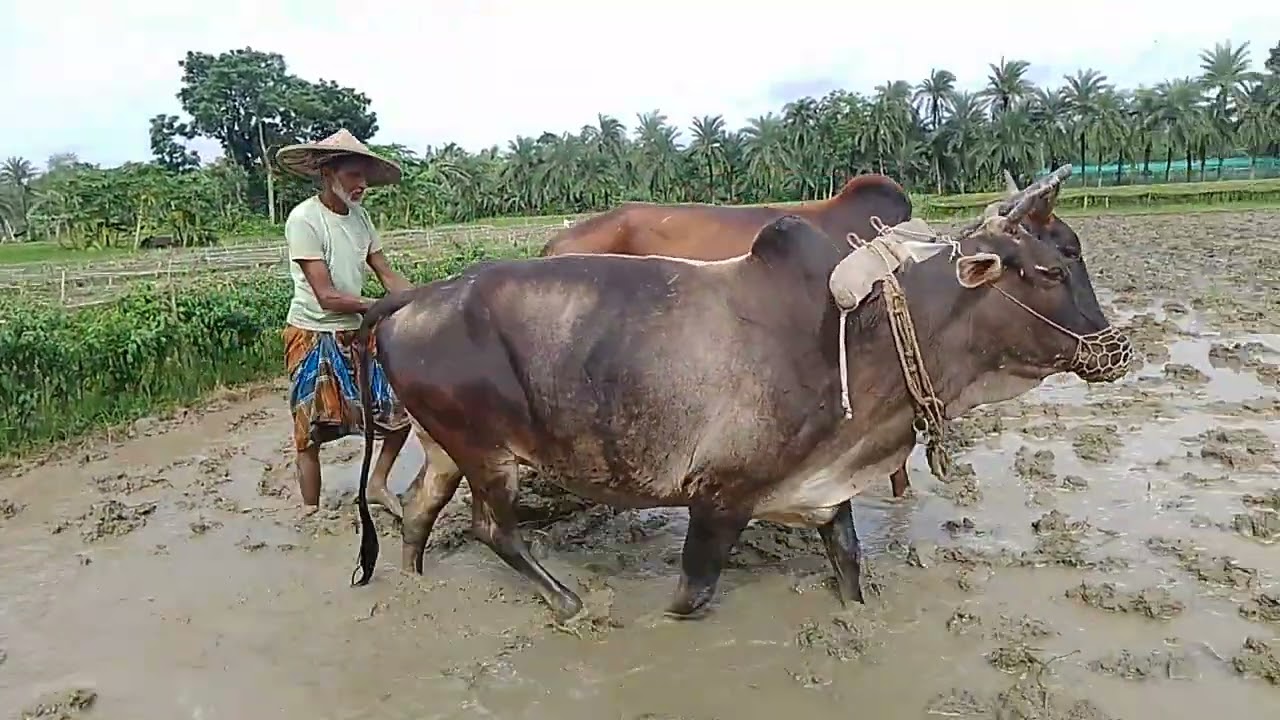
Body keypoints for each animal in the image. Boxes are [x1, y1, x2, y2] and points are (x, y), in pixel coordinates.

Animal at [350, 176, 1133, 623]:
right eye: (1048, 268)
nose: (1117, 348)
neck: (869, 329)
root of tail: (413, 296)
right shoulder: (719, 498)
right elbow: (692, 596)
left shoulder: (824, 487)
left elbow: (851, 566)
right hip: (488, 452)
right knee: (494, 529)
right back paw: (569, 604)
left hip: (448, 446)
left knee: (417, 509)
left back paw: (414, 587)